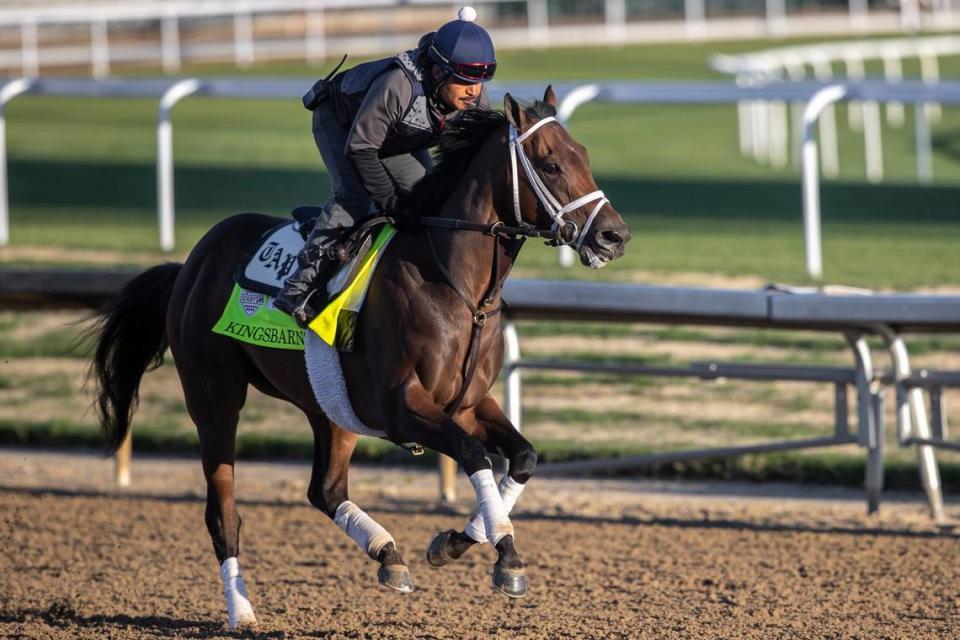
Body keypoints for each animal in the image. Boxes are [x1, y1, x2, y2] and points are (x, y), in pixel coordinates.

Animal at [88, 86, 632, 632]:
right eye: (550, 164)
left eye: (584, 155)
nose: (615, 236)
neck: (457, 285)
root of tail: (190, 264)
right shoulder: (402, 406)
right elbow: (475, 454)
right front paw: (507, 556)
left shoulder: (467, 404)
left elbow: (522, 457)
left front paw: (456, 542)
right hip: (214, 397)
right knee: (223, 510)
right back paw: (241, 611)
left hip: (329, 405)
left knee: (324, 489)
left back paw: (388, 554)